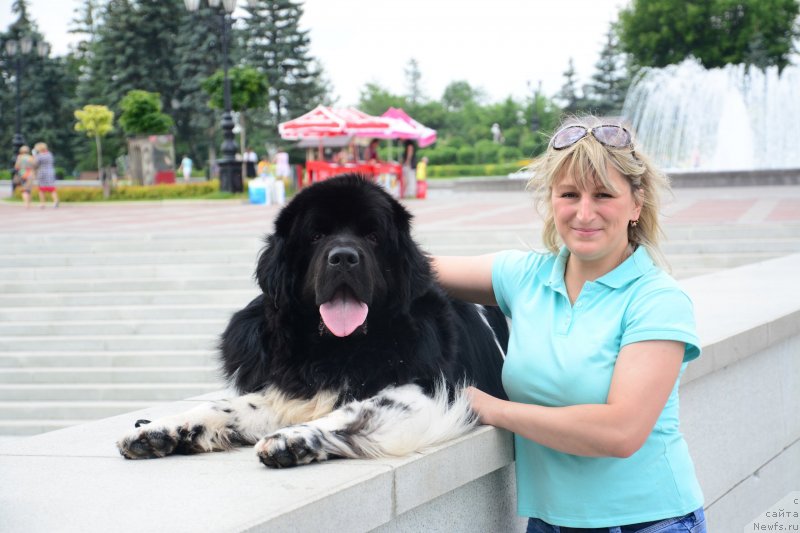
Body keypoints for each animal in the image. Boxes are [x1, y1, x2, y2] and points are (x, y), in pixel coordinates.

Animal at [119, 174, 506, 466]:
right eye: (316, 235)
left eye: (373, 236)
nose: (344, 257)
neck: (334, 349)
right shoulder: (290, 389)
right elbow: (227, 406)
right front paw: (158, 430)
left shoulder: (435, 392)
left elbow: (359, 409)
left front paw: (293, 439)